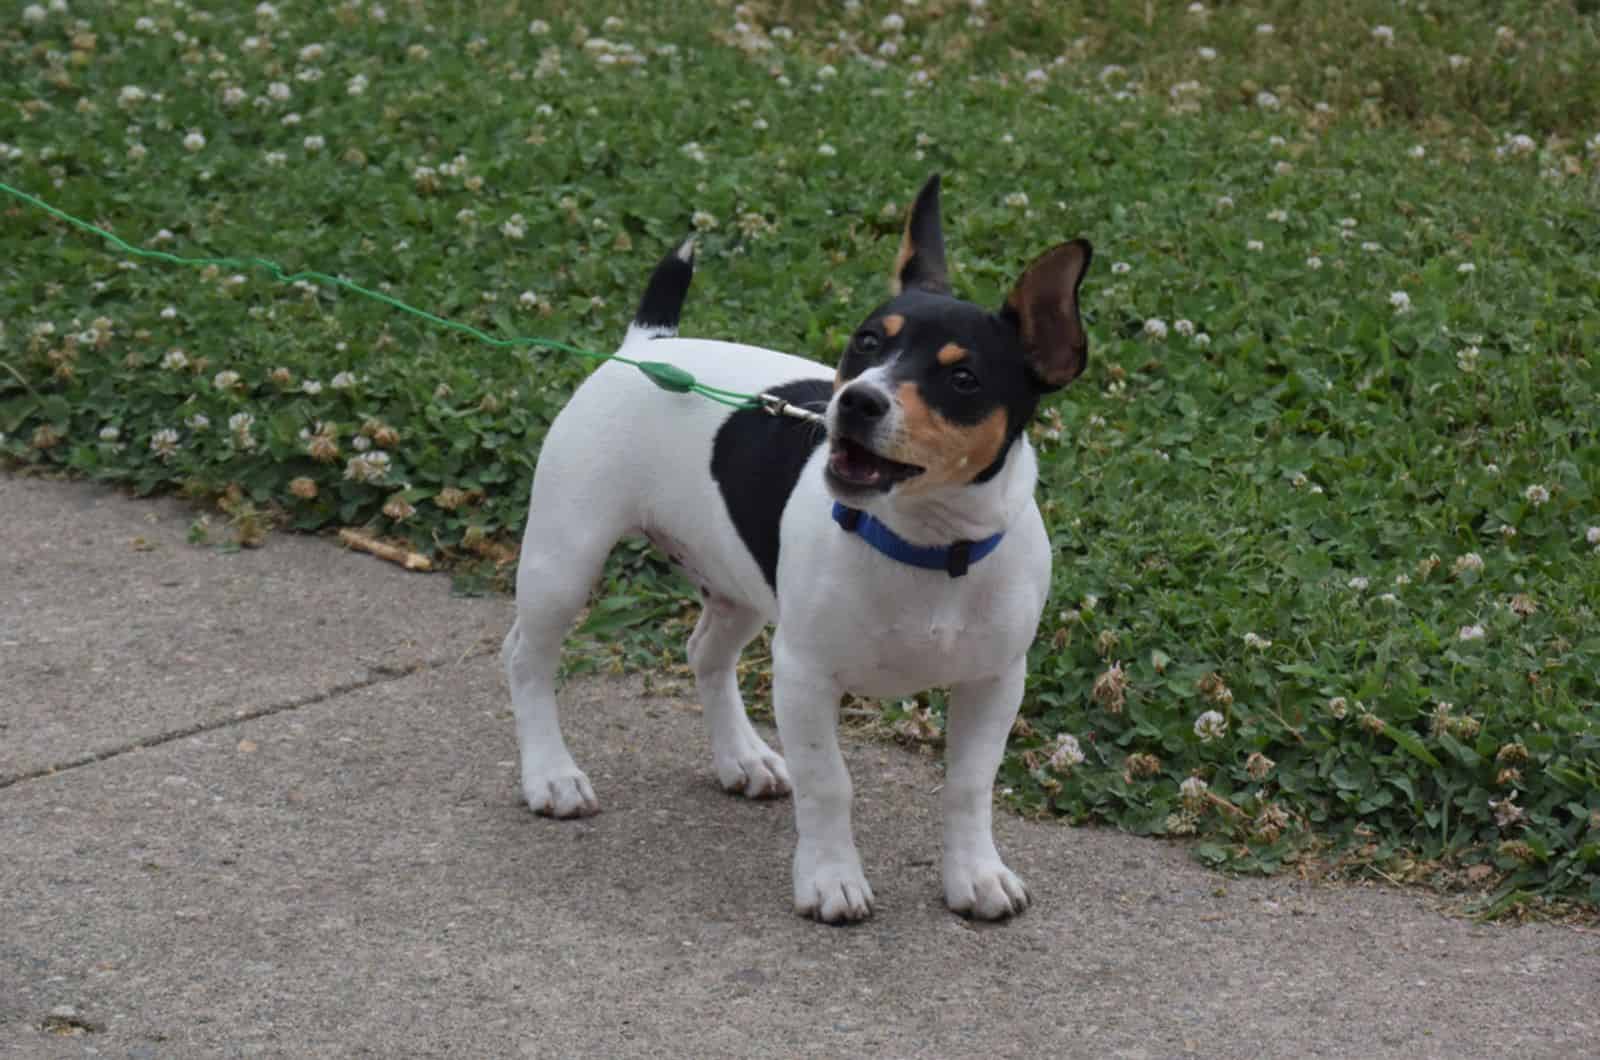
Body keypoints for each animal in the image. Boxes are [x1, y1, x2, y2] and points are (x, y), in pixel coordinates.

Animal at [505, 174, 1094, 922]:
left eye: (963, 379)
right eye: (866, 342)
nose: (858, 401)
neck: (925, 544)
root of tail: (646, 345)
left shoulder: (994, 681)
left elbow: (968, 786)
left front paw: (976, 874)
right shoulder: (806, 677)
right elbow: (830, 783)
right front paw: (831, 878)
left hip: (737, 581)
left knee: (706, 653)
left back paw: (742, 758)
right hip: (566, 558)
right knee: (527, 656)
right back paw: (551, 775)